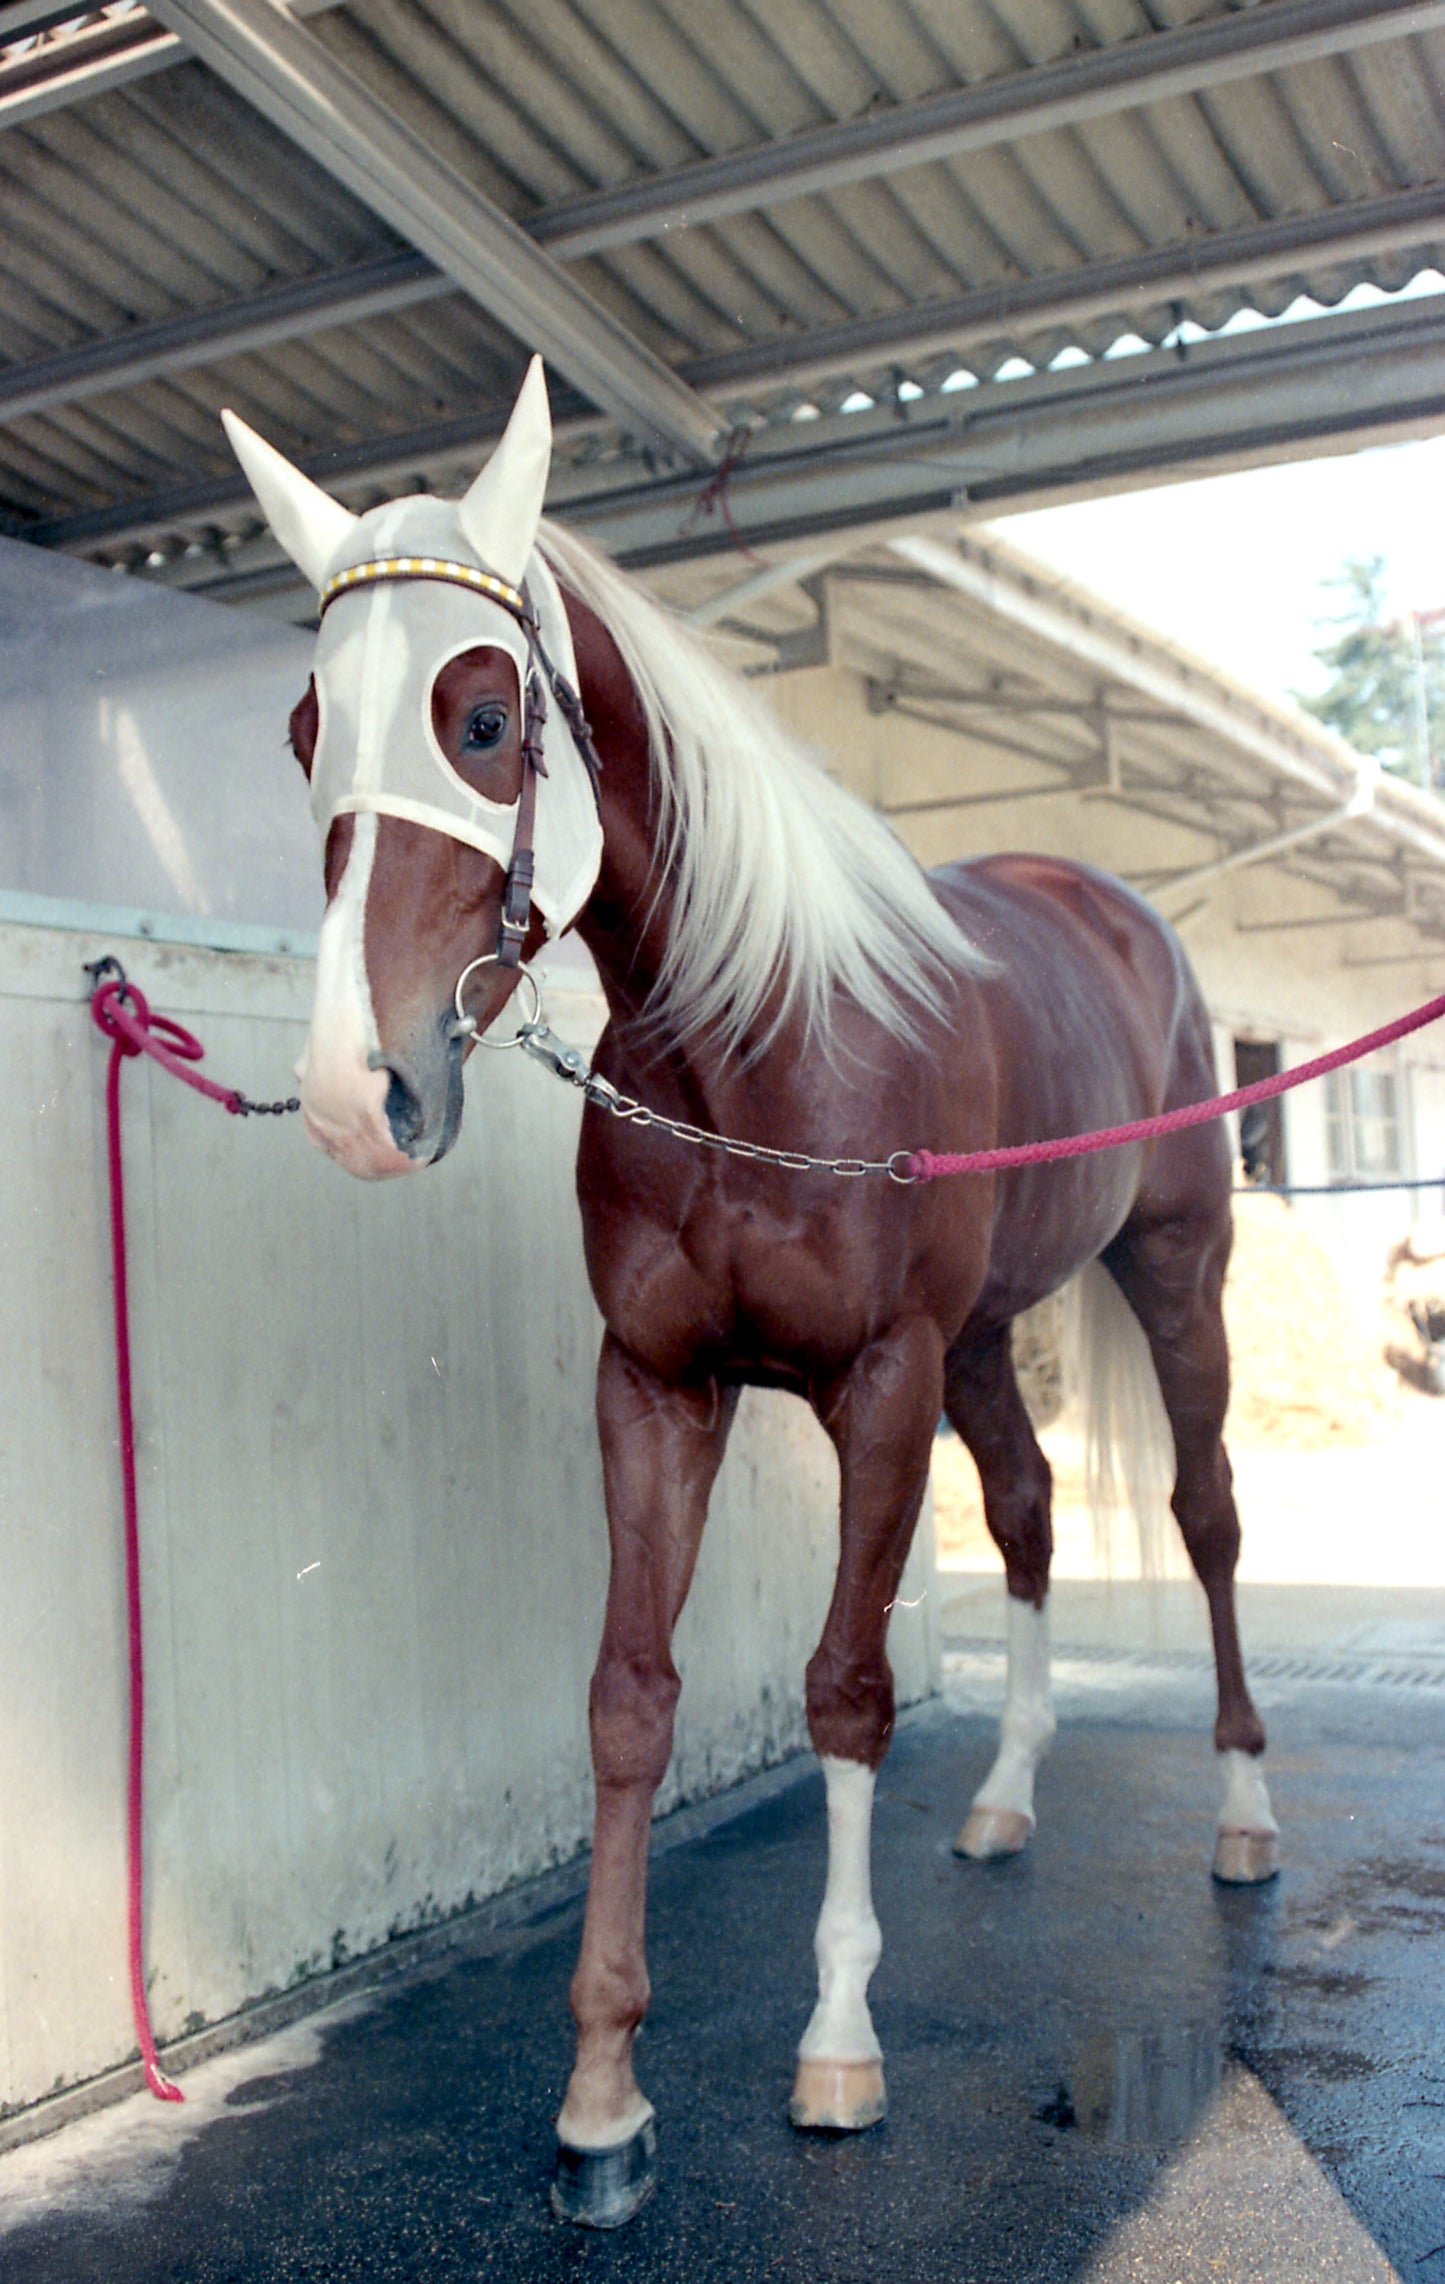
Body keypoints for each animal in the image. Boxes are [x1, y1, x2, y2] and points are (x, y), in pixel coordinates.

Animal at [225, 360, 1269, 2229]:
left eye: (480, 715)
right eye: (302, 727)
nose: (356, 1091)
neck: (752, 1043)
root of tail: (1117, 907)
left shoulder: (878, 1379)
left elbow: (845, 1687)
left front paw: (838, 2048)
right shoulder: (657, 1384)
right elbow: (627, 1702)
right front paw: (602, 2104)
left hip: (1171, 1272)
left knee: (1206, 1515)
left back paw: (1240, 1817)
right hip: (985, 1340)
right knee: (1027, 1512)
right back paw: (1006, 1799)